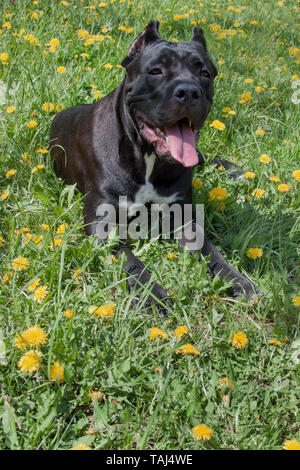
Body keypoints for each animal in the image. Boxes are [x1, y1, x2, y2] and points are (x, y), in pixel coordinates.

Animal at [49, 23, 260, 316]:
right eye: (156, 71)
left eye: (204, 73)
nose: (188, 91)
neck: (148, 158)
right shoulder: (102, 224)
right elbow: (129, 261)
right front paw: (150, 294)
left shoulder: (183, 215)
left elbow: (209, 250)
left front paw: (237, 279)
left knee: (205, 158)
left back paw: (236, 171)